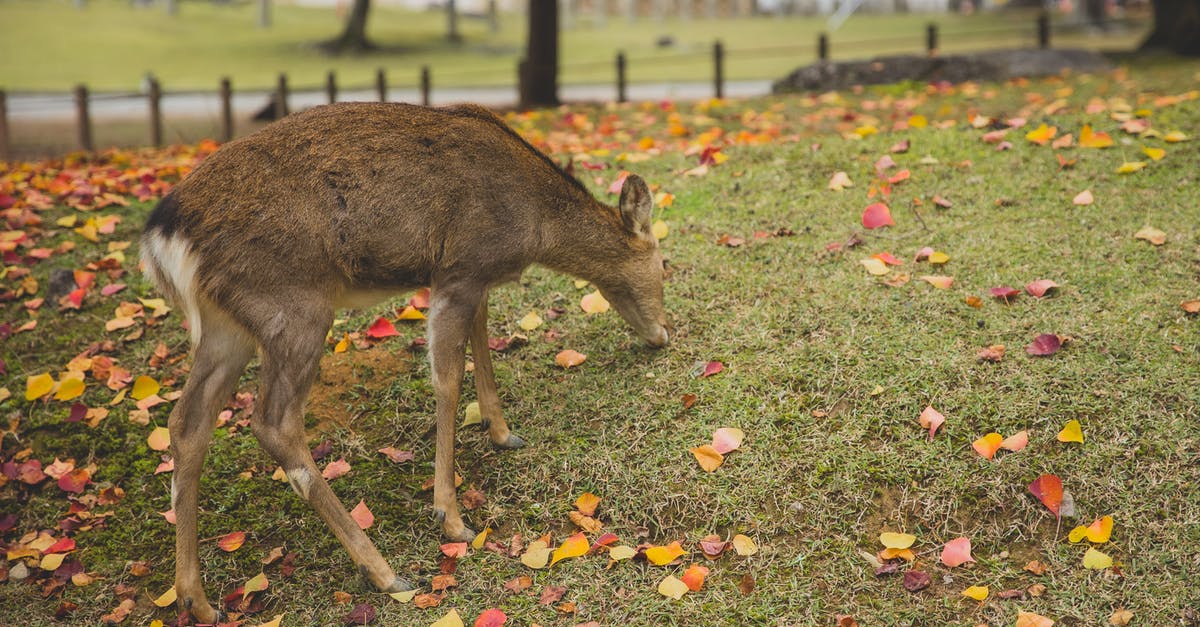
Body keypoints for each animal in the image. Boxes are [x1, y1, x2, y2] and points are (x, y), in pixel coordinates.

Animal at [141, 102, 672, 619]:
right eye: (665, 263)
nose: (663, 335)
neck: (533, 225)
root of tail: (162, 239)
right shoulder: (461, 266)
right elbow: (447, 379)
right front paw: (450, 517)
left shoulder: (473, 277)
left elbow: (482, 340)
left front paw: (502, 433)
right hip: (292, 305)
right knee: (274, 423)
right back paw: (383, 571)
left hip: (226, 326)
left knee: (187, 421)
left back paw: (196, 598)